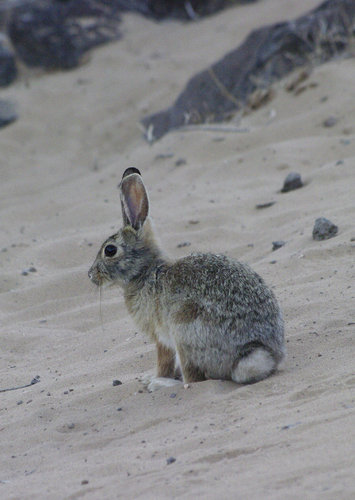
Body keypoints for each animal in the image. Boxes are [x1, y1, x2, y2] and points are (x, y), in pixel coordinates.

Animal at [89, 168, 286, 390]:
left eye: (110, 250)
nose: (91, 275)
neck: (144, 272)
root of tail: (254, 352)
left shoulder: (161, 337)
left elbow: (164, 361)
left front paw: (154, 377)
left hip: (184, 332)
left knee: (193, 380)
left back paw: (160, 383)